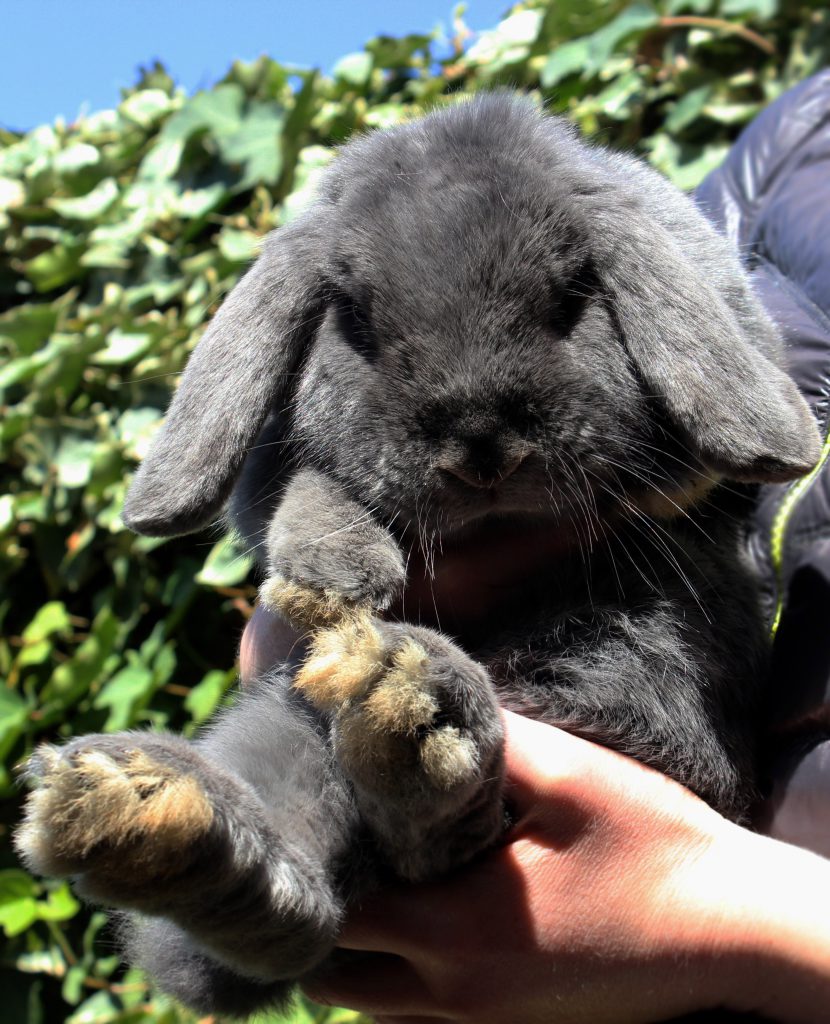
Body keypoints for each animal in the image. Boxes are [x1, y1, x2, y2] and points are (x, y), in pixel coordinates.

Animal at [16, 94, 822, 1015]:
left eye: (570, 297)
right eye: (358, 320)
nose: (483, 447)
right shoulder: (268, 481)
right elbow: (299, 489)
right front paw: (332, 572)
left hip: (641, 685)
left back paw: (417, 719)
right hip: (284, 723)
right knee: (299, 894)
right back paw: (166, 810)